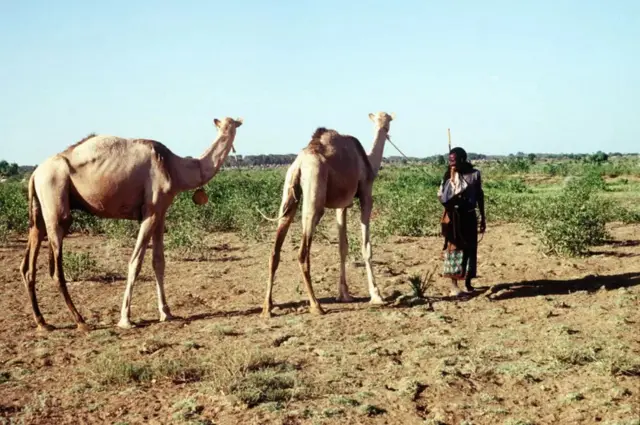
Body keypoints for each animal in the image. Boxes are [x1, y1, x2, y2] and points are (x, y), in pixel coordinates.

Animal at [20, 117, 243, 332]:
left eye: (231, 124)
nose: (229, 128)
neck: (175, 168)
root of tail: (35, 174)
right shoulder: (150, 211)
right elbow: (135, 262)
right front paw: (125, 319)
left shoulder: (161, 212)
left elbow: (158, 262)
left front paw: (166, 313)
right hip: (55, 200)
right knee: (56, 268)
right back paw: (81, 321)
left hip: (39, 211)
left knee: (28, 263)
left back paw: (43, 322)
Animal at [260, 111, 395, 317]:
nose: (387, 129)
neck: (368, 162)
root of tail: (299, 164)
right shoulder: (366, 193)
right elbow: (366, 247)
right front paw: (377, 296)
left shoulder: (343, 205)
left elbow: (343, 247)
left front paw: (344, 295)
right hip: (314, 194)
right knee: (302, 253)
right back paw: (316, 305)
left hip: (288, 194)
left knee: (274, 252)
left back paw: (267, 308)